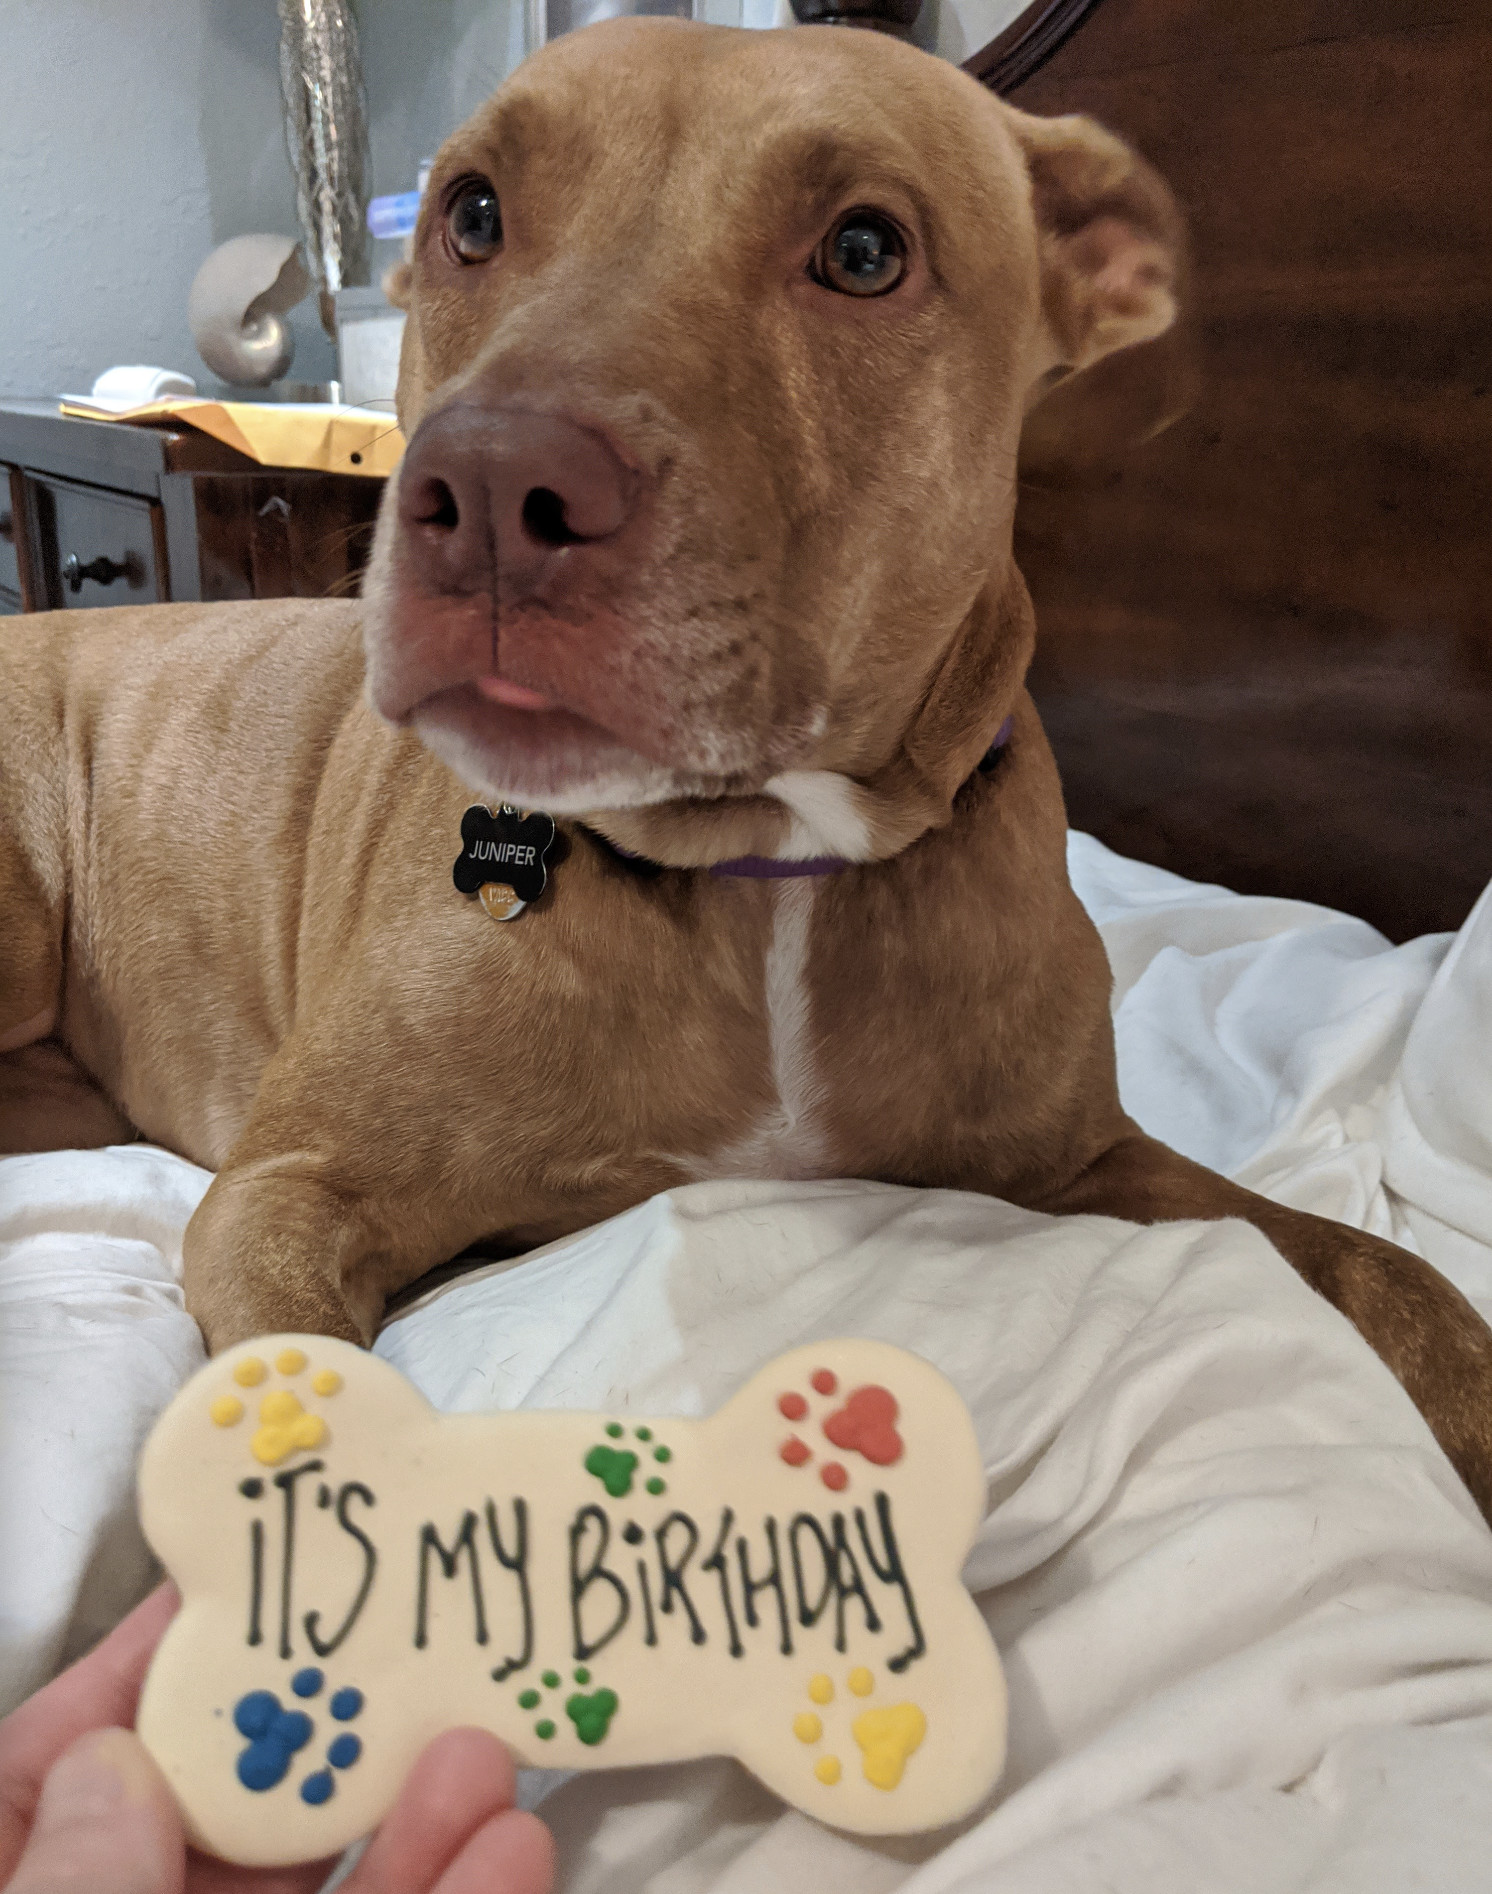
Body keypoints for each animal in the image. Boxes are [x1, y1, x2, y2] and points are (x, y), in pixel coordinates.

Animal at [8, 22, 1492, 1515]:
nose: (482, 490)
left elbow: (1370, 1261)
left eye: (866, 250)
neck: (769, 862)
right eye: (473, 213)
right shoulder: (292, 1189)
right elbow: (320, 1419)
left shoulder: (1087, 1158)